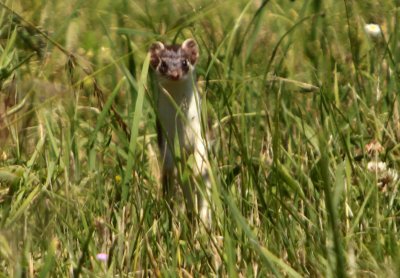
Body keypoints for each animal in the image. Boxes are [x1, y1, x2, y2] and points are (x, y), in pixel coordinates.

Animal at [149, 38, 212, 226]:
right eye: (163, 64)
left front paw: (197, 167)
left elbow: (201, 148)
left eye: (184, 62)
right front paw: (176, 170)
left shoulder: (200, 128)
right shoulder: (163, 129)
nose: (175, 74)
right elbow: (167, 157)